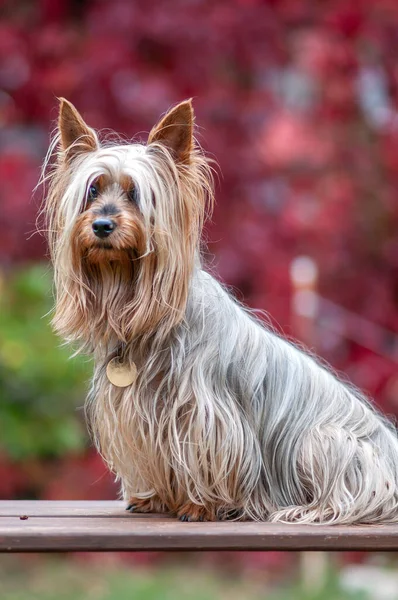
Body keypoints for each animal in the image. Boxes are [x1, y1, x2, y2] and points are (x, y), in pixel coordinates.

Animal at [41, 97, 398, 520]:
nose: (102, 225)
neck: (146, 316)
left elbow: (211, 456)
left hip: (326, 440)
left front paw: (200, 506)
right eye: (92, 190)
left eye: (135, 195)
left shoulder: (208, 415)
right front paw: (152, 498)